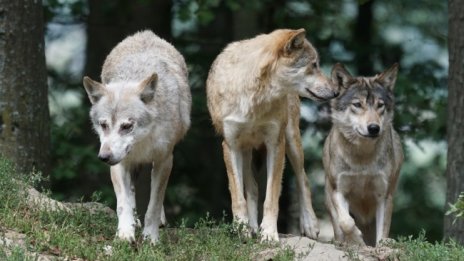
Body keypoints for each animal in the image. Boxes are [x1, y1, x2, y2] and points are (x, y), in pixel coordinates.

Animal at [82, 30, 191, 244]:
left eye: (126, 126)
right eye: (104, 125)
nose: (103, 157)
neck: (142, 143)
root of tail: (145, 33)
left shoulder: (165, 160)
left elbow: (154, 205)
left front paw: (151, 238)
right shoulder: (119, 164)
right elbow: (123, 203)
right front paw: (125, 233)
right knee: (131, 192)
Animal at [207, 27, 338, 240]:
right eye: (314, 65)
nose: (336, 92)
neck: (254, 97)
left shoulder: (276, 144)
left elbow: (271, 197)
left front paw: (268, 233)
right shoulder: (230, 146)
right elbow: (238, 197)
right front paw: (242, 229)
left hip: (292, 141)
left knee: (303, 179)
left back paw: (309, 224)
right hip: (246, 151)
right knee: (252, 187)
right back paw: (252, 227)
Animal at [324, 63, 404, 246]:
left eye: (380, 105)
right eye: (357, 105)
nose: (374, 128)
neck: (362, 157)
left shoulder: (384, 195)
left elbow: (382, 232)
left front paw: (381, 245)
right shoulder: (338, 190)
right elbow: (346, 222)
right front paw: (356, 240)